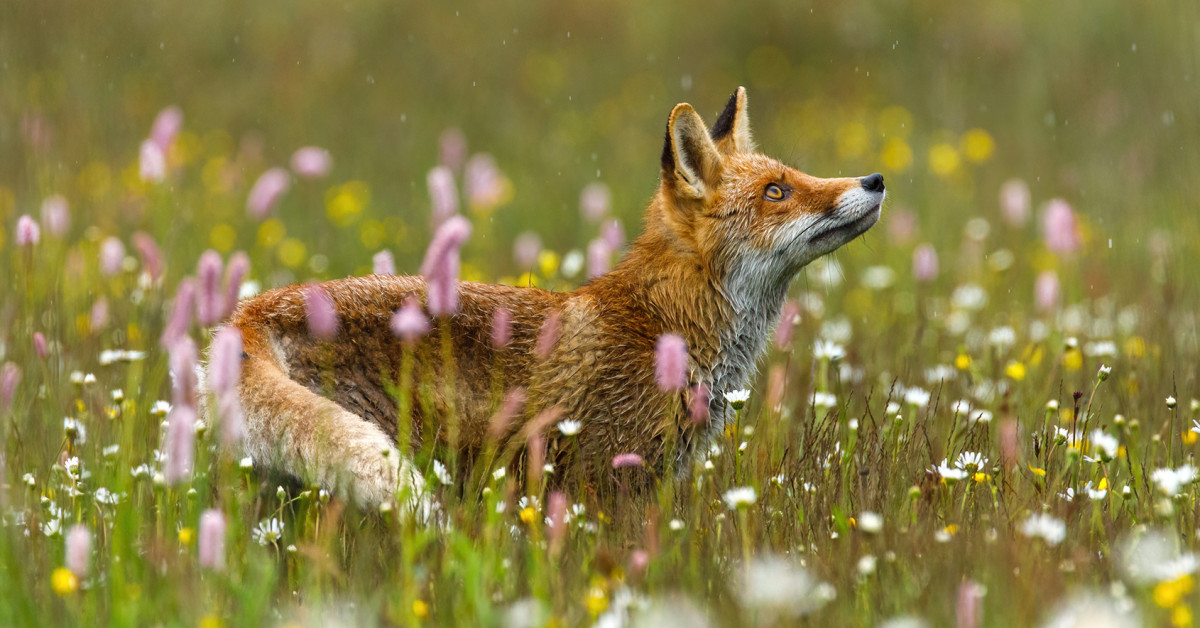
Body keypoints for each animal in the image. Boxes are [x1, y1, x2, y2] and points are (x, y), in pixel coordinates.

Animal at [214, 87, 885, 508]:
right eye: (777, 192)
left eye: (790, 178)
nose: (875, 179)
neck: (662, 326)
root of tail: (249, 311)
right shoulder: (602, 478)